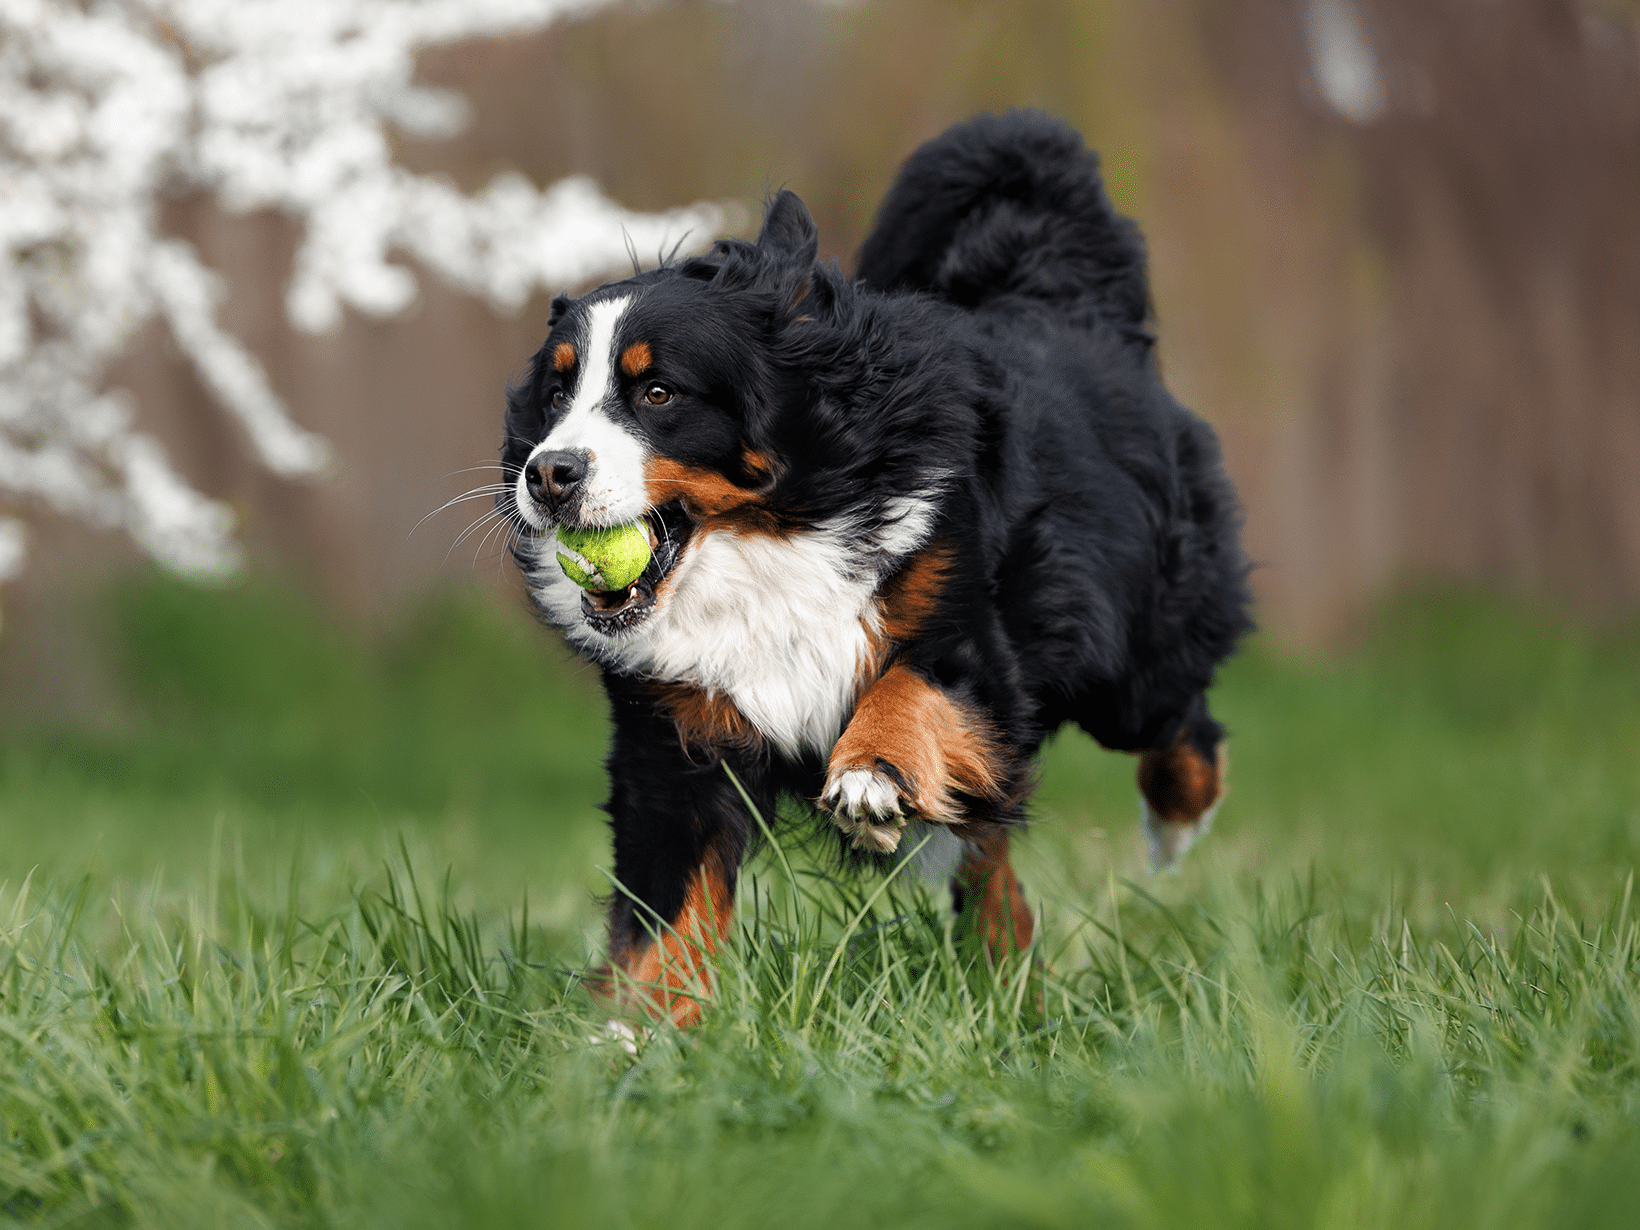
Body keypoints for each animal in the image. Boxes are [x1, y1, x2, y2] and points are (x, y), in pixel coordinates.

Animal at [492, 110, 1246, 1023]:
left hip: (1134, 653)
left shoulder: (972, 634)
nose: (548, 473)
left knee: (1178, 723)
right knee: (987, 846)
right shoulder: (674, 736)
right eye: (555, 396)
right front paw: (633, 1034)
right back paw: (1006, 968)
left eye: (659, 393)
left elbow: (912, 686)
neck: (771, 542)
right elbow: (664, 910)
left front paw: (872, 778)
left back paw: (1173, 826)